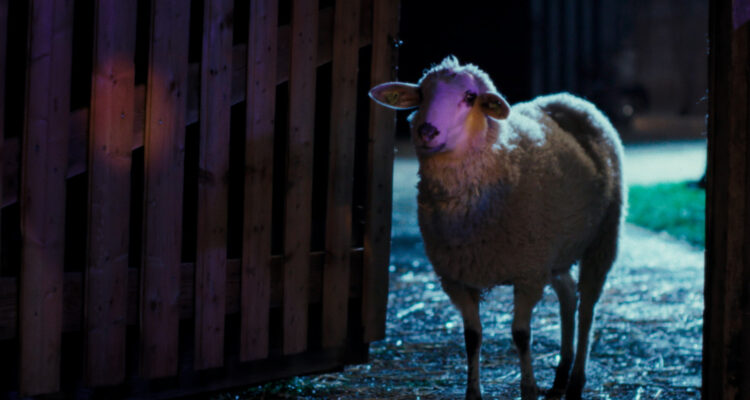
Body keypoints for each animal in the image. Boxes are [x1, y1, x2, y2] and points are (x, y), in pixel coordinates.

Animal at [369, 56, 624, 400]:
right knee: (569, 296)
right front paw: (473, 393)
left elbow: (521, 335)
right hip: (554, 251)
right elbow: (472, 337)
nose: (426, 131)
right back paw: (560, 377)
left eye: (469, 97)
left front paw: (528, 389)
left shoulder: (528, 274)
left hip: (603, 238)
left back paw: (575, 382)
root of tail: (567, 98)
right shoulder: (457, 279)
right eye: (421, 95)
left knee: (587, 309)